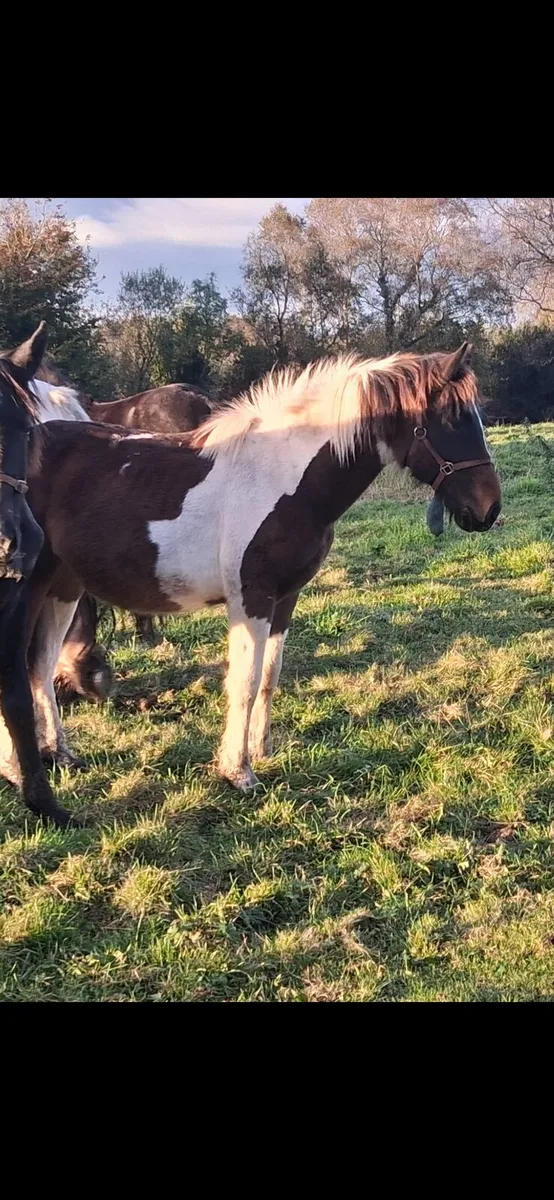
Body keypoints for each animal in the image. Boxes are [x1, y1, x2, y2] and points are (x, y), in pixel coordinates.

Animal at [1, 342, 500, 823]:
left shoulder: (285, 599)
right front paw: (237, 771)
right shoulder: (251, 600)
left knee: (40, 666)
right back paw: (18, 770)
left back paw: (60, 754)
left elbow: (269, 677)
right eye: (450, 420)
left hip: (63, 588)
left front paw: (261, 750)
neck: (283, 479)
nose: (488, 509)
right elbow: (243, 680)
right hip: (28, 590)